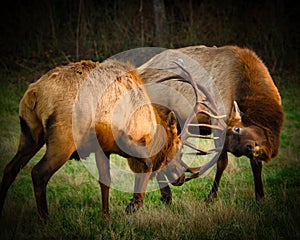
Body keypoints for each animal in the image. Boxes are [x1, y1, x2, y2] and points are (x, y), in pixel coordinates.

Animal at [0, 58, 190, 221]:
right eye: (179, 146)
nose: (181, 178)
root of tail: (34, 93)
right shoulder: (135, 142)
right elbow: (147, 167)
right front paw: (132, 206)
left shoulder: (102, 148)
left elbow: (105, 180)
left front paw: (106, 216)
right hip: (62, 140)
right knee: (39, 173)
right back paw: (45, 219)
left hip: (30, 135)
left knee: (10, 168)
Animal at [138, 44, 284, 201]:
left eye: (237, 129)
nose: (250, 149)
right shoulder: (218, 119)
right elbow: (222, 163)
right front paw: (211, 197)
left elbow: (256, 165)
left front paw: (260, 196)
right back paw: (166, 195)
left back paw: (166, 196)